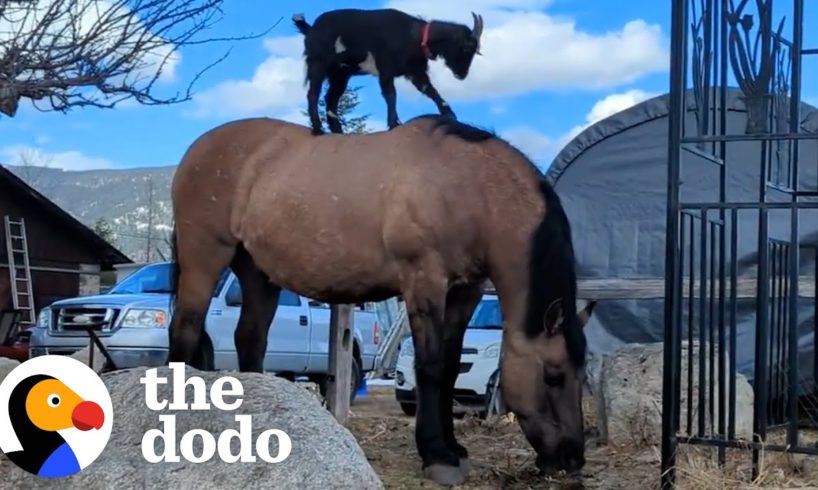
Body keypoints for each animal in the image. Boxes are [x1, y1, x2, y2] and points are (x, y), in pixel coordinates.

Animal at [166, 115, 596, 486]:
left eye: (583, 375)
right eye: (553, 374)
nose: (572, 458)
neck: (466, 186)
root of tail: (197, 149)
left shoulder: (465, 292)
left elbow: (451, 366)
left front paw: (455, 449)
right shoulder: (424, 282)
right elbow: (431, 366)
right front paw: (438, 456)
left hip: (257, 273)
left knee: (250, 338)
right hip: (205, 256)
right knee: (185, 328)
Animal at [290, 9, 482, 136]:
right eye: (466, 48)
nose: (462, 74)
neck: (414, 36)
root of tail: (310, 29)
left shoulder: (415, 72)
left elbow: (430, 90)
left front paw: (449, 114)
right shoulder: (385, 70)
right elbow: (391, 95)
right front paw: (394, 123)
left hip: (341, 74)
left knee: (331, 98)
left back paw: (338, 131)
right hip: (318, 64)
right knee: (313, 94)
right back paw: (317, 129)